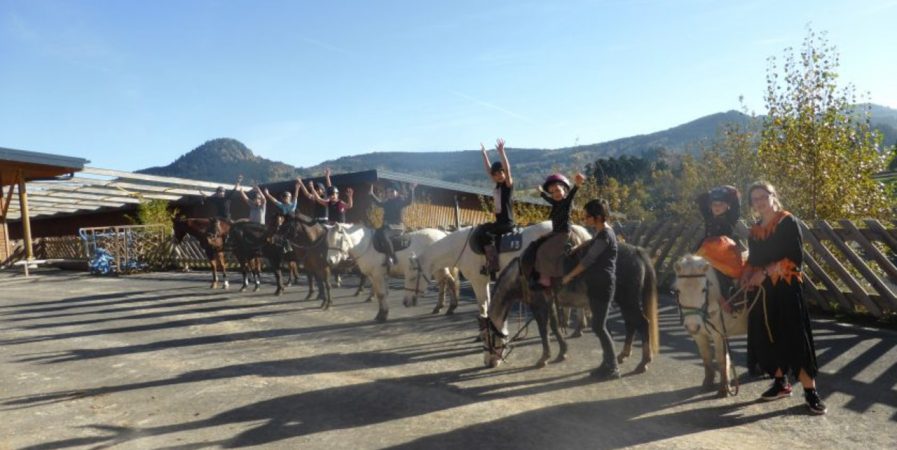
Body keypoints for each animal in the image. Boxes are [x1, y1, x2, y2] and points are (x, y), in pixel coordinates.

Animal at [324, 223, 456, 322]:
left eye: (338, 239)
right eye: (328, 241)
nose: (330, 261)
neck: (367, 246)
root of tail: (444, 234)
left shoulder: (378, 275)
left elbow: (382, 294)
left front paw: (383, 315)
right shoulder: (373, 276)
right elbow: (379, 294)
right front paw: (381, 313)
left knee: (450, 281)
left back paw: (451, 308)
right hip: (437, 268)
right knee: (443, 283)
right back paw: (438, 307)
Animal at [404, 221, 588, 320]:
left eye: (412, 277)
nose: (405, 302)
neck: (460, 247)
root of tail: (571, 228)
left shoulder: (477, 281)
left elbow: (482, 304)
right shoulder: (484, 280)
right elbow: (487, 303)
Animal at [480, 241, 660, 370]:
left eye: (486, 337)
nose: (488, 362)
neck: (522, 275)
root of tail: (636, 251)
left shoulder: (539, 305)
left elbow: (544, 330)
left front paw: (544, 358)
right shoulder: (550, 303)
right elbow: (554, 327)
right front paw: (562, 353)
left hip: (628, 301)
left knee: (643, 323)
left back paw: (644, 362)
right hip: (624, 302)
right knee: (631, 324)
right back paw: (623, 354)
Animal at [672, 255, 748, 396]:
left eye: (703, 289)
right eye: (678, 290)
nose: (692, 325)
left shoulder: (719, 334)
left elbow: (721, 359)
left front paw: (724, 388)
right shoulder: (698, 335)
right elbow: (706, 356)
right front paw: (708, 383)